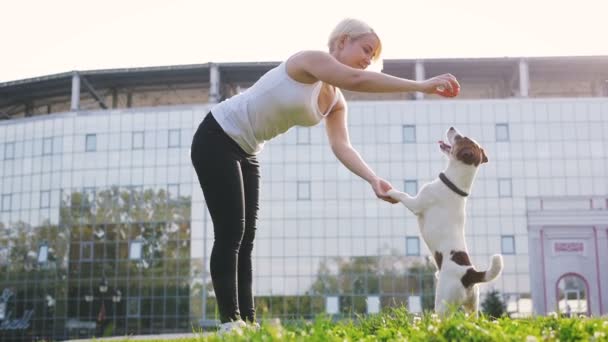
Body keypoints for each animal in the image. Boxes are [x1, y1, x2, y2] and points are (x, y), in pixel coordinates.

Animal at [390, 126, 504, 316]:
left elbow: (403, 195)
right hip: (472, 307)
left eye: (460, 138)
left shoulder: (416, 203)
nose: (451, 128)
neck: (454, 185)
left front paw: (390, 191)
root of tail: (470, 274)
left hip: (443, 303)